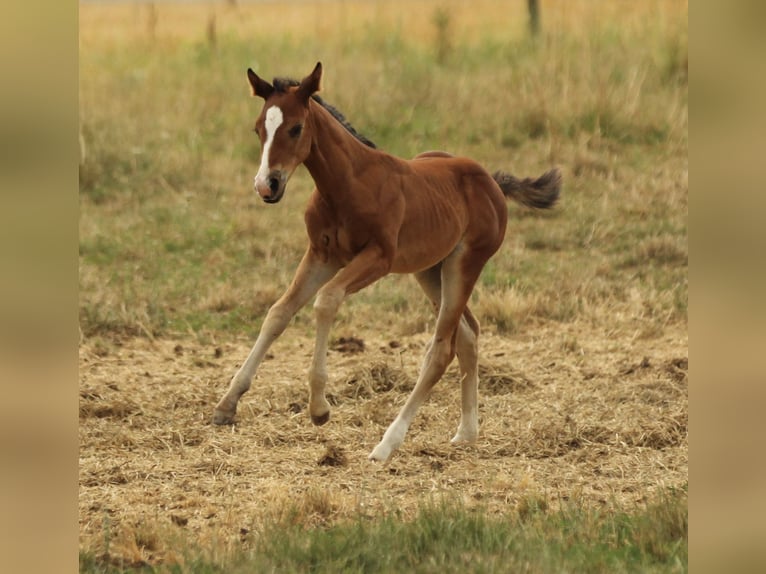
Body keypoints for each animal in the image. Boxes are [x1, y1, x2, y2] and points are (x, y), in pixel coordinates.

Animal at [213, 62, 561, 462]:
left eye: (296, 128)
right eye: (258, 128)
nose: (266, 185)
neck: (347, 185)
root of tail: (491, 181)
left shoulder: (378, 258)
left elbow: (326, 300)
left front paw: (319, 408)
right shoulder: (321, 254)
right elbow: (278, 313)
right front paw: (226, 404)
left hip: (464, 263)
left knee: (441, 349)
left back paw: (387, 443)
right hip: (430, 270)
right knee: (468, 334)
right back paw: (466, 432)